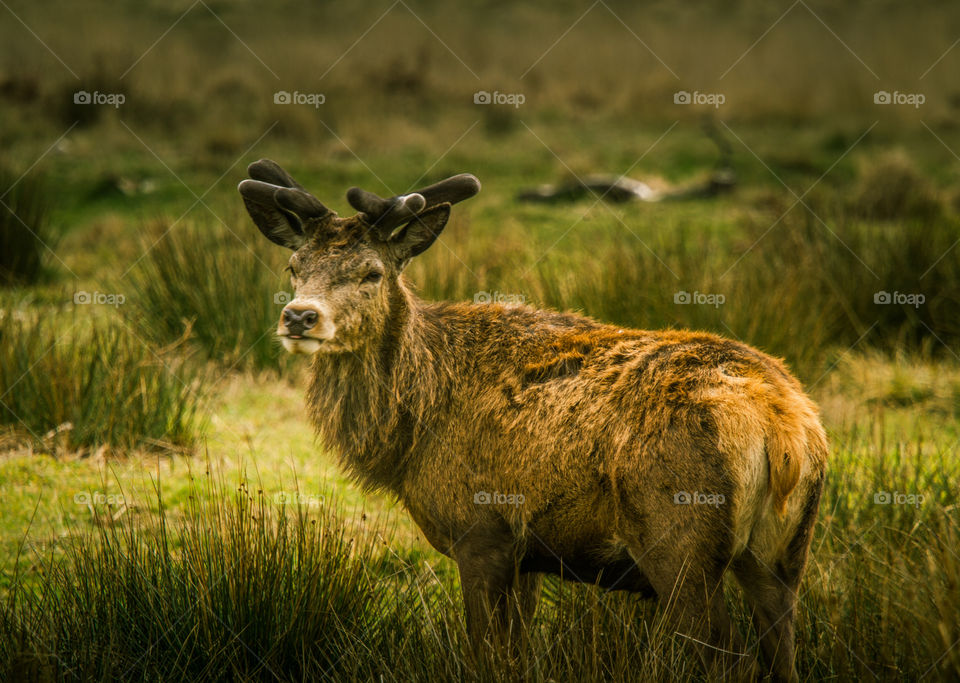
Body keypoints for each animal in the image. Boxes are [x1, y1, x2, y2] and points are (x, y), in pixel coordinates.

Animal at [238, 158, 824, 680]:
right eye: (294, 267)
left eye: (371, 272)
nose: (300, 316)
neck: (410, 434)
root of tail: (782, 424)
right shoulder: (528, 555)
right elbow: (519, 658)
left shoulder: (481, 530)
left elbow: (486, 659)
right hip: (784, 552)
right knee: (783, 654)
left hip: (679, 539)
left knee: (731, 660)